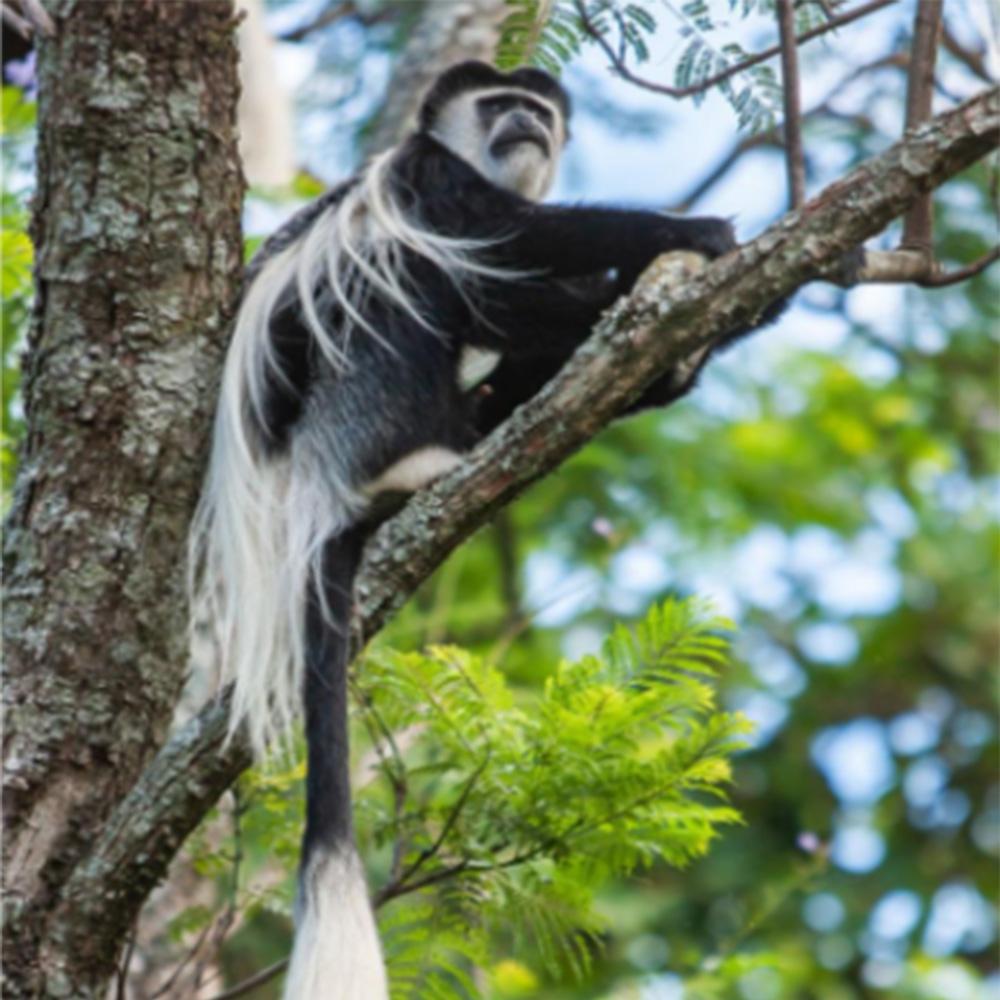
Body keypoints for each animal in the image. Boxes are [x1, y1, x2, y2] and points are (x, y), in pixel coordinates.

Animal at [189, 60, 782, 1000]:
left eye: (536, 110)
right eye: (500, 107)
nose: (528, 124)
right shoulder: (430, 179)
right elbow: (518, 240)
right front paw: (695, 233)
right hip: (346, 412)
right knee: (420, 286)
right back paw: (418, 463)